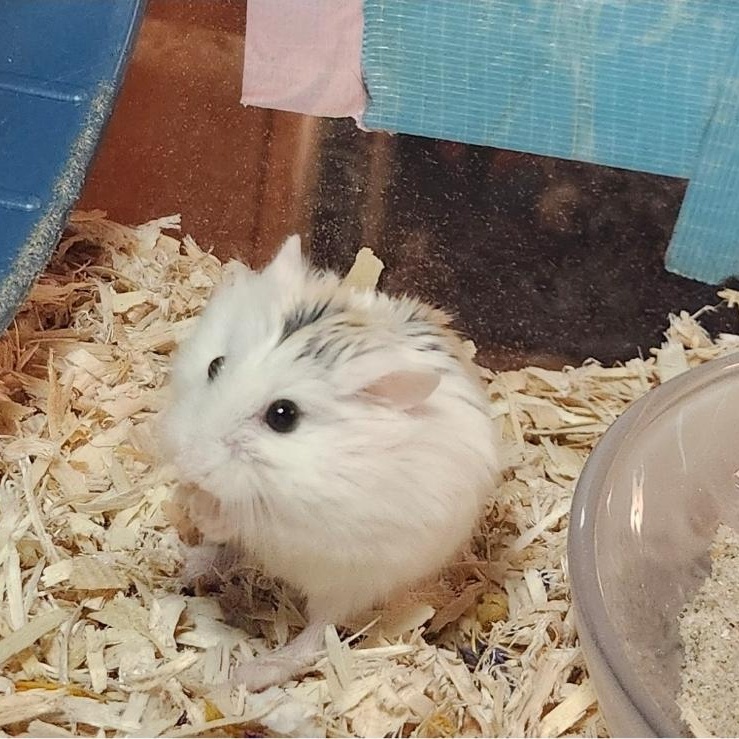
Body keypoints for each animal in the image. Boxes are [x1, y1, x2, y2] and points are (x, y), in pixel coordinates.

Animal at [160, 235, 502, 691]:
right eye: (215, 365)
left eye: (283, 415)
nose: (189, 462)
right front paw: (188, 497)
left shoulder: (316, 526)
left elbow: (253, 522)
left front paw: (206, 510)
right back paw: (183, 560)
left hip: (351, 585)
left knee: (315, 636)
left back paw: (249, 674)